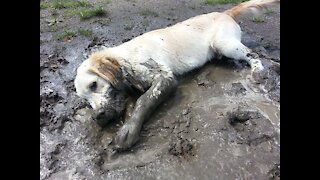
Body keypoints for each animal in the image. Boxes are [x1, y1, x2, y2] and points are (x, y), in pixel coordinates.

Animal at [74, 0, 280, 150]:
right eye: (86, 101)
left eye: (94, 84)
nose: (97, 116)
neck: (127, 59)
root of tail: (224, 13)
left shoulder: (165, 78)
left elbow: (144, 100)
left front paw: (128, 131)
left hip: (224, 43)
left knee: (253, 54)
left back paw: (258, 71)